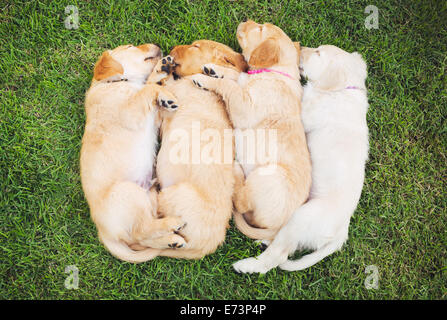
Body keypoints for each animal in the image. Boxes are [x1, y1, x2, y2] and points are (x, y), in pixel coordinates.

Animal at [79, 43, 186, 264]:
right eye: (130, 46)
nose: (156, 45)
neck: (115, 83)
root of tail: (103, 232)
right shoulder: (129, 112)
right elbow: (148, 88)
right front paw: (166, 93)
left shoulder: (154, 119)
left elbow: (149, 87)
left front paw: (161, 69)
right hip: (128, 192)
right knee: (141, 231)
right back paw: (172, 224)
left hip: (148, 198)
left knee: (144, 235)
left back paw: (171, 240)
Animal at [192, 20, 312, 240]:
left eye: (261, 28)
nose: (245, 20)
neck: (274, 72)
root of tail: (279, 227)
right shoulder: (243, 87)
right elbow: (236, 76)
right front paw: (214, 69)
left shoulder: (245, 108)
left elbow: (229, 85)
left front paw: (206, 78)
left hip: (267, 176)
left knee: (241, 203)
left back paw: (237, 171)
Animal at [233, 45, 370, 274]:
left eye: (318, 53)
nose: (302, 49)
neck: (344, 90)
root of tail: (341, 233)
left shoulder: (307, 111)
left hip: (300, 218)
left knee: (277, 257)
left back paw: (247, 265)